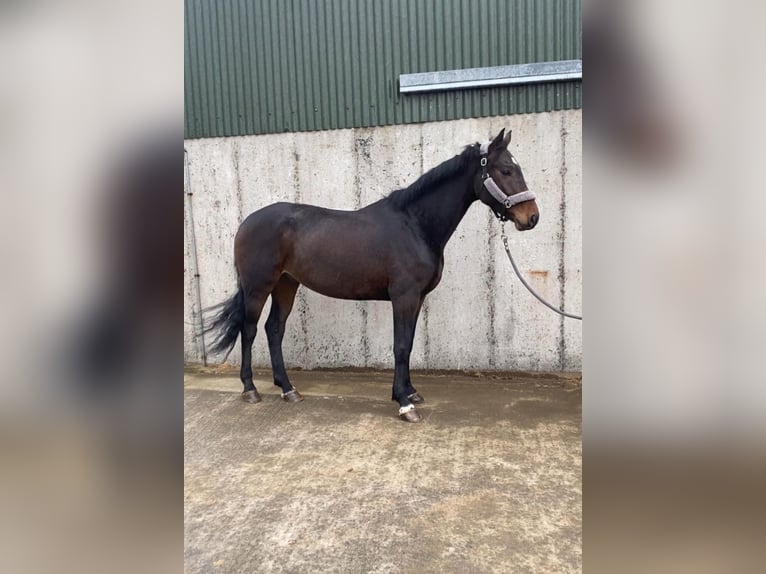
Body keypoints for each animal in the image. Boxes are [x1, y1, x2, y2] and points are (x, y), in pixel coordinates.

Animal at [205, 128, 539, 422]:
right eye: (506, 170)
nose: (532, 217)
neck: (415, 225)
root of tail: (246, 222)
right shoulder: (404, 297)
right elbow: (400, 346)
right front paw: (404, 404)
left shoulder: (416, 299)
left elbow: (409, 343)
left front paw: (410, 392)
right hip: (258, 286)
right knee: (248, 330)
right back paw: (250, 389)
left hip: (286, 284)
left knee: (274, 329)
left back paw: (288, 389)